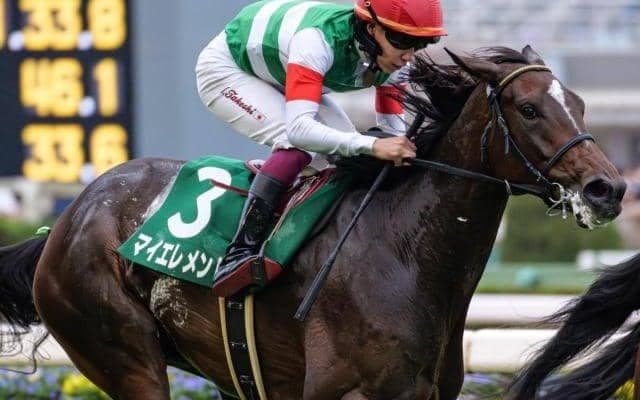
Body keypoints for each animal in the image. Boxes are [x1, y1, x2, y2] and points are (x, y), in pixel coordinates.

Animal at [0, 45, 626, 400]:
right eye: (529, 109)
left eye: (579, 104)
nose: (609, 189)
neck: (402, 249)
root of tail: (66, 221)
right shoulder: (342, 390)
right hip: (122, 353)